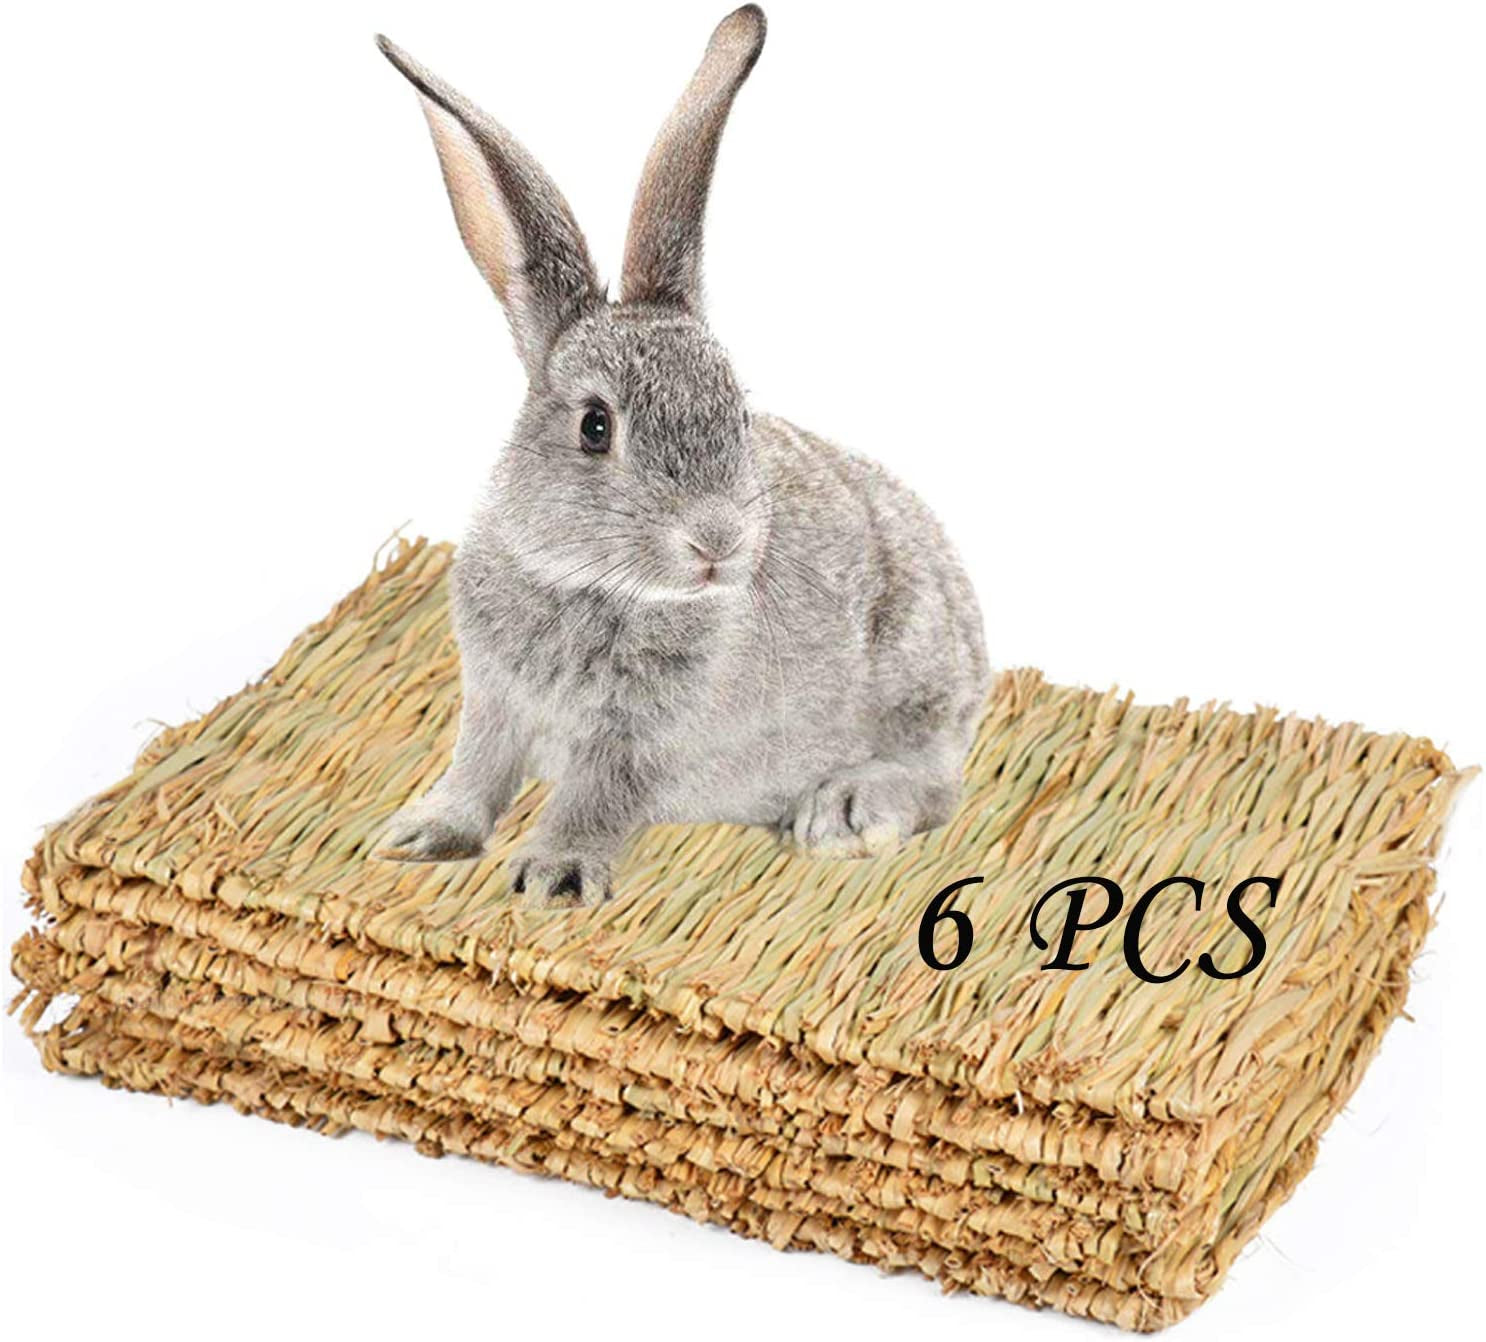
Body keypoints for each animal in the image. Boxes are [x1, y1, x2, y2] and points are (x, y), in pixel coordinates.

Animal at [377, 5, 989, 906]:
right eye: (596, 427)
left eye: (736, 409)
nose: (719, 540)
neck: (591, 583)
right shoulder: (493, 700)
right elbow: (476, 770)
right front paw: (422, 834)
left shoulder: (639, 740)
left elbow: (595, 796)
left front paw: (555, 876)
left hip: (915, 675)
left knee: (939, 782)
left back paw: (845, 813)